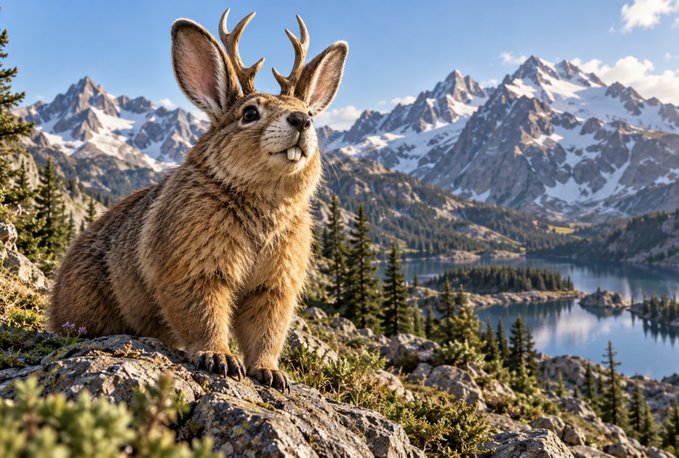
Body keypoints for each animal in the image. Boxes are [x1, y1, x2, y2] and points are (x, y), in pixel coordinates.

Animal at [48, 8, 348, 392]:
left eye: (309, 111)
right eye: (250, 113)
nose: (301, 121)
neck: (264, 205)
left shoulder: (274, 287)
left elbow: (267, 332)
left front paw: (272, 375)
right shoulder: (195, 267)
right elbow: (203, 315)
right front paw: (220, 360)